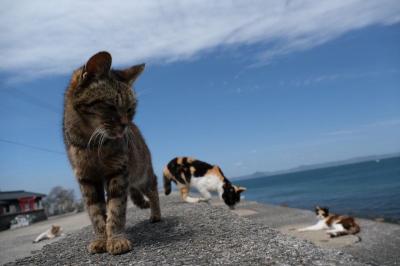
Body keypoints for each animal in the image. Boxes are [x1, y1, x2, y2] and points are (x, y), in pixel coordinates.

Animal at [63, 51, 160, 255]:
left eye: (130, 109)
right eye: (111, 106)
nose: (125, 125)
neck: (92, 144)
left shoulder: (118, 171)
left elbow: (116, 209)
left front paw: (116, 239)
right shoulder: (87, 178)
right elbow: (96, 212)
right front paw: (101, 239)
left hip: (142, 173)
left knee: (153, 187)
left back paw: (156, 214)